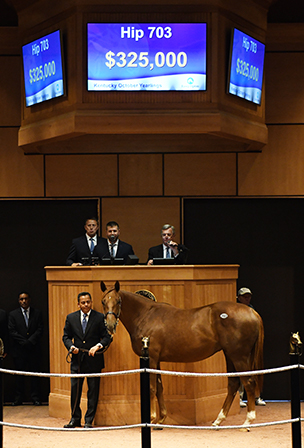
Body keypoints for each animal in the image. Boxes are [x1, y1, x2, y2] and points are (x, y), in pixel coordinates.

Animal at [100, 282, 264, 428]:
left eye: (118, 301)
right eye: (103, 301)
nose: (110, 325)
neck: (145, 315)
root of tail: (252, 312)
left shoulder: (151, 359)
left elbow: (152, 388)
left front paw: (151, 419)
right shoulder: (156, 361)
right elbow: (159, 387)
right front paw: (161, 420)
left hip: (239, 356)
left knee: (249, 383)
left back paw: (247, 422)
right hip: (230, 355)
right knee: (233, 384)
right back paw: (218, 420)